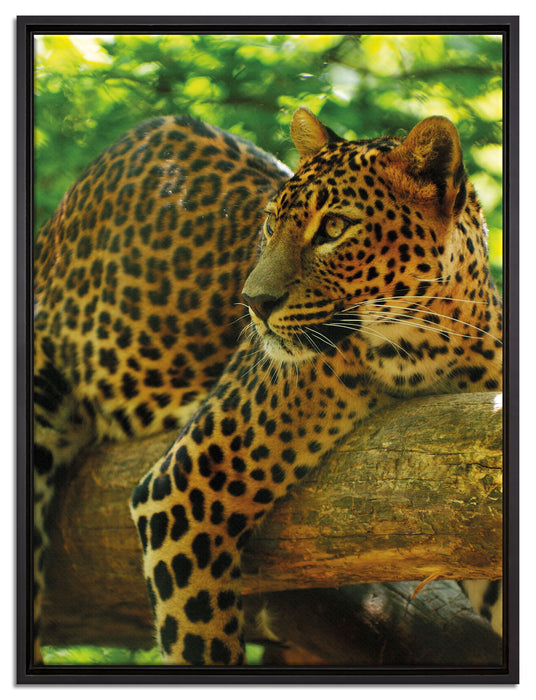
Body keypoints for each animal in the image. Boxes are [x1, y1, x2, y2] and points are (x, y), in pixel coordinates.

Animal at [33, 107, 503, 666]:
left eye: (334, 228)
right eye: (271, 224)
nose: (254, 302)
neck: (429, 348)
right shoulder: (183, 486)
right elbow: (200, 639)